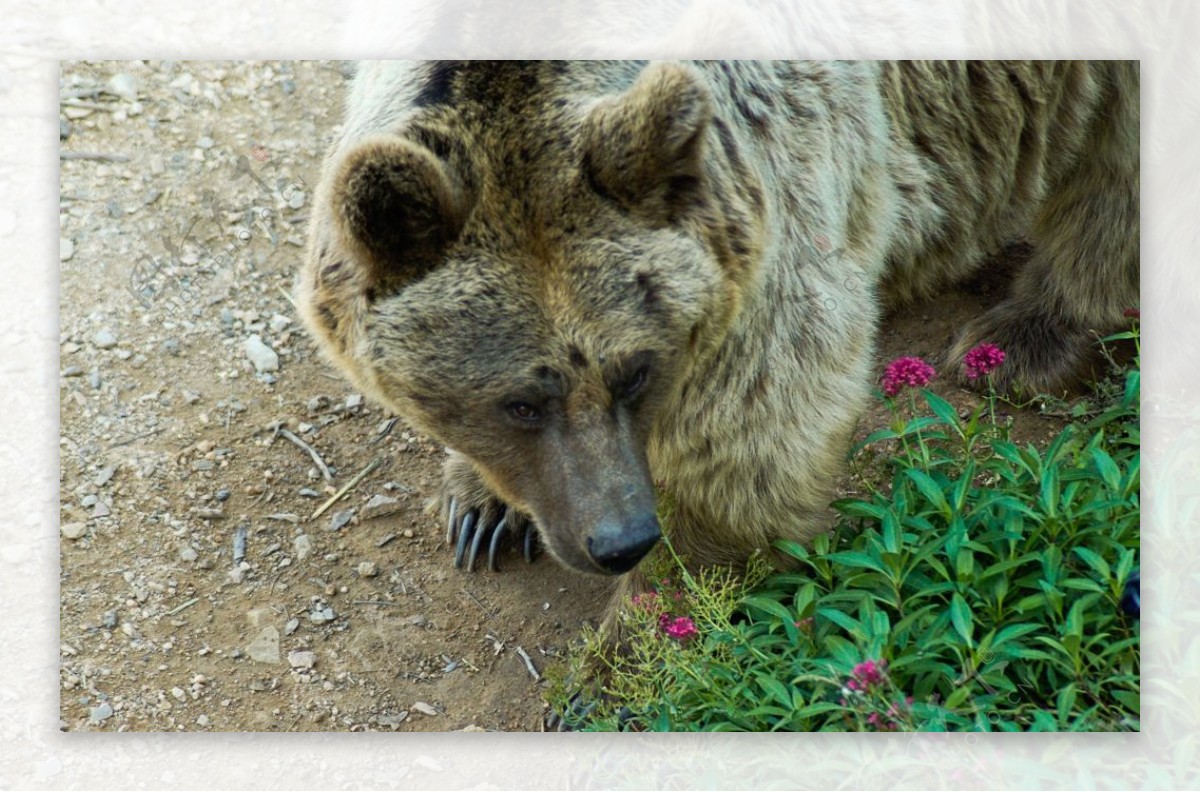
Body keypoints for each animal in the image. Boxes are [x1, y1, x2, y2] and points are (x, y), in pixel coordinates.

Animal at [295, 61, 1137, 609]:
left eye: (635, 371)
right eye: (521, 403)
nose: (621, 539)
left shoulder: (769, 186)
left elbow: (753, 427)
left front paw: (632, 650)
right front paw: (485, 510)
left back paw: (1033, 334)